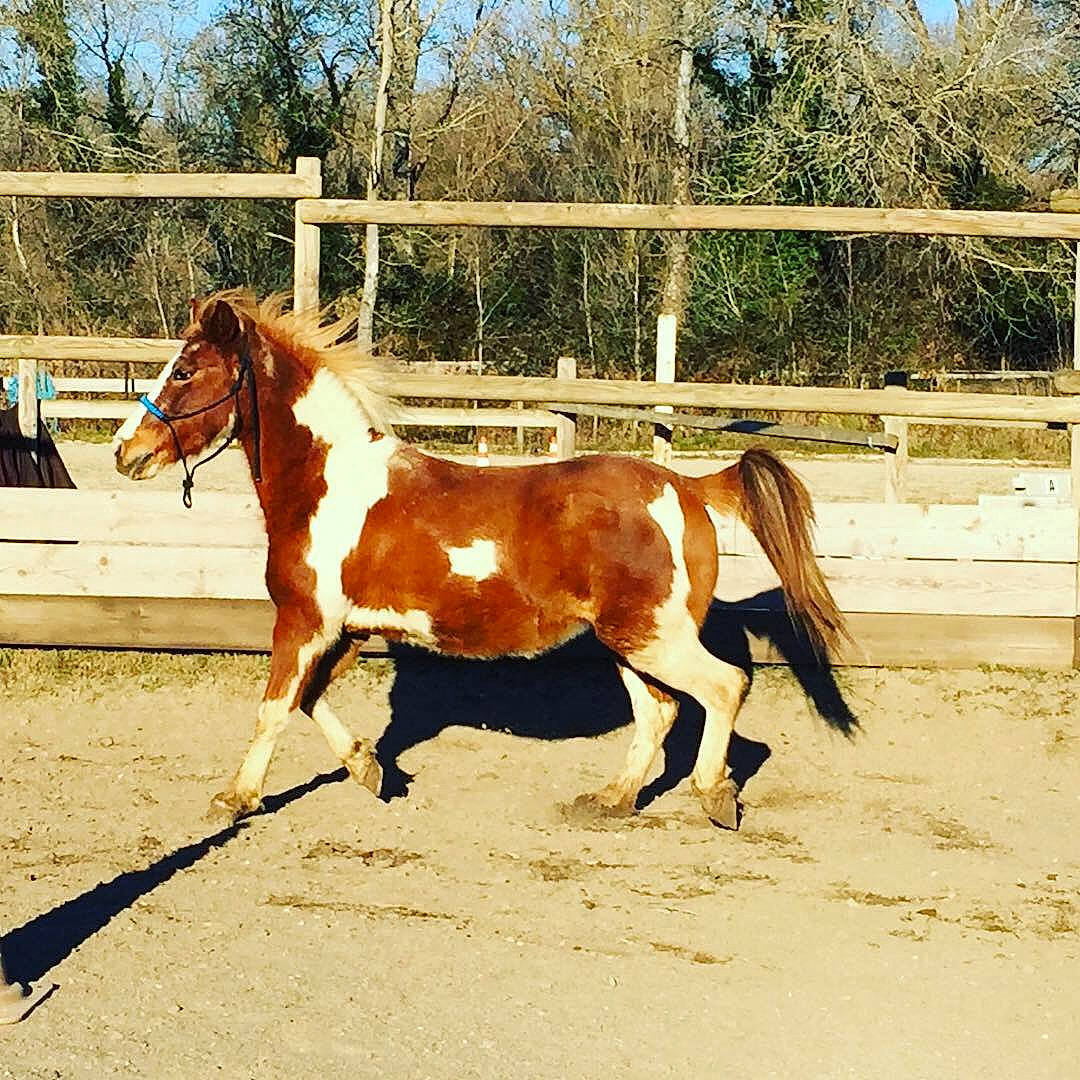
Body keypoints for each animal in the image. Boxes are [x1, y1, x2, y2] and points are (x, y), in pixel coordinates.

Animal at [113, 291, 846, 829]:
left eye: (184, 371)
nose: (126, 451)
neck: (326, 483)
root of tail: (689, 488)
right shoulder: (346, 629)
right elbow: (310, 700)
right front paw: (371, 770)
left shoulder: (303, 621)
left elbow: (274, 707)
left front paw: (234, 798)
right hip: (631, 640)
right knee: (659, 713)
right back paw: (609, 800)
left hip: (649, 635)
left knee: (724, 686)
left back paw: (713, 795)